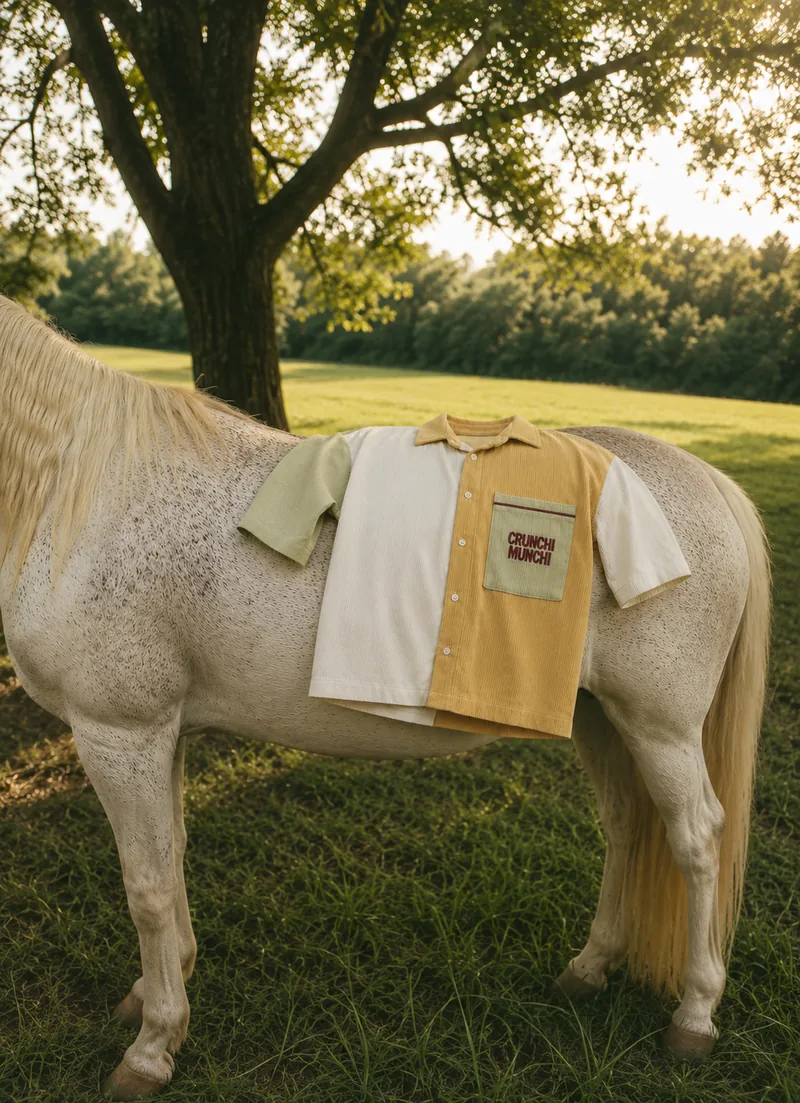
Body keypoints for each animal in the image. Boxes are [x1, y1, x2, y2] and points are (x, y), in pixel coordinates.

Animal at [0, 295, 769, 1100]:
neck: (75, 485)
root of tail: (707, 481)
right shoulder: (163, 732)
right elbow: (171, 860)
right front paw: (158, 991)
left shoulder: (120, 732)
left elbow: (146, 886)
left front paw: (153, 1046)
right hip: (602, 717)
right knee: (626, 824)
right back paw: (590, 968)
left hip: (661, 726)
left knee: (697, 838)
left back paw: (695, 1014)